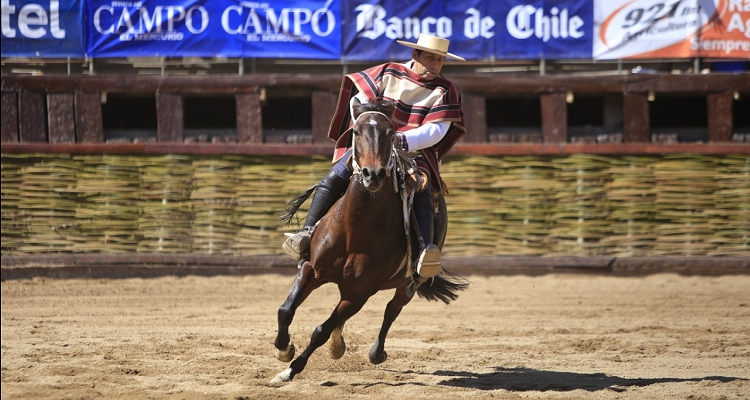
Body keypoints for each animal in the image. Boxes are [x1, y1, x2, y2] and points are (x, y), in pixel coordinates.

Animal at [270, 98, 470, 382]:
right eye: (356, 131)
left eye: (391, 133)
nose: (372, 175)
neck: (354, 230)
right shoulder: (311, 269)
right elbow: (286, 310)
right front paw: (284, 350)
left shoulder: (359, 293)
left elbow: (320, 330)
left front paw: (290, 370)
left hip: (409, 283)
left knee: (392, 310)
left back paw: (376, 351)